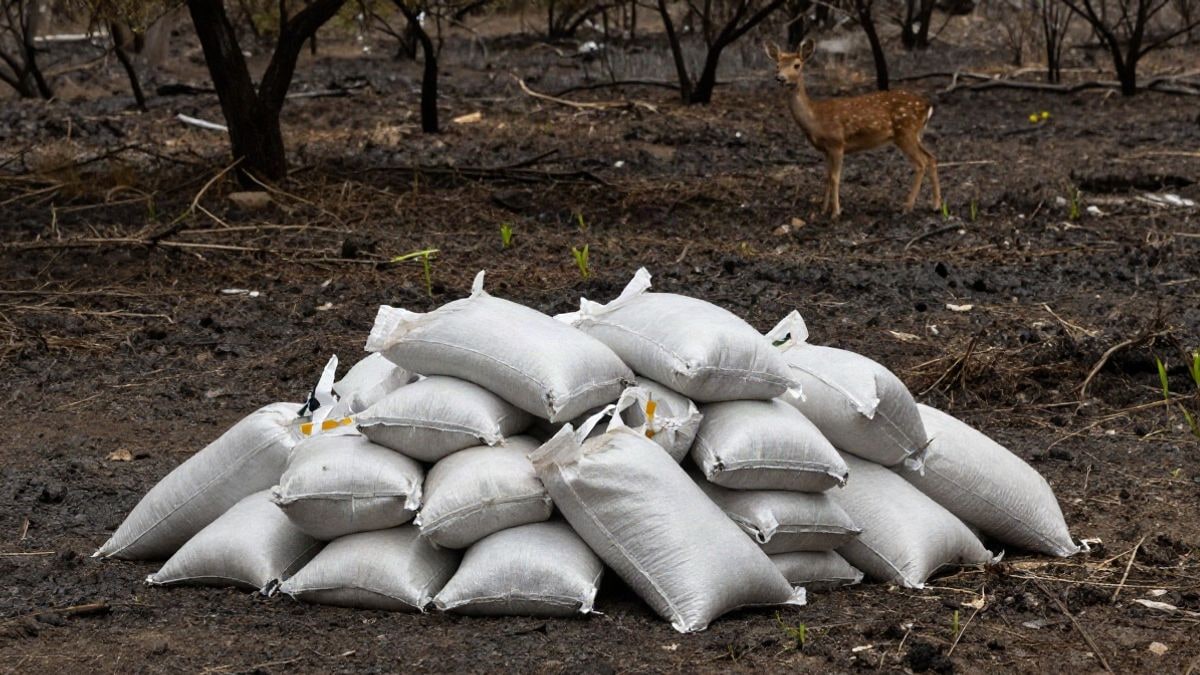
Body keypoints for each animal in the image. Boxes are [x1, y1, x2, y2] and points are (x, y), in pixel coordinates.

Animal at [766, 39, 941, 219]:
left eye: (797, 65)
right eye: (777, 65)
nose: (780, 78)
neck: (815, 119)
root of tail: (928, 106)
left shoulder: (837, 143)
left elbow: (835, 177)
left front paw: (835, 212)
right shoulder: (826, 150)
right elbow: (826, 177)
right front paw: (823, 209)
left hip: (905, 132)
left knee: (920, 163)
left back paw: (907, 207)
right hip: (915, 134)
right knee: (931, 158)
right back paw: (936, 205)